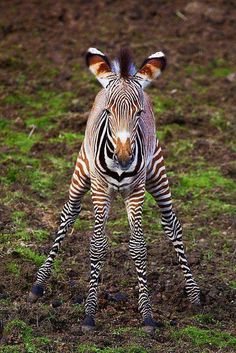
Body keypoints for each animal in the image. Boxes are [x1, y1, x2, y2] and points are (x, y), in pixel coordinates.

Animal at [28, 46, 200, 330]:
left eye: (139, 113)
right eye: (108, 112)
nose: (123, 156)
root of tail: (121, 72)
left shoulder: (137, 191)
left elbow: (139, 246)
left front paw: (147, 315)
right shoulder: (98, 189)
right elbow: (97, 245)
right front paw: (89, 313)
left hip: (158, 172)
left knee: (172, 223)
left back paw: (194, 292)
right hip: (81, 173)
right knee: (68, 215)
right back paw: (38, 284)